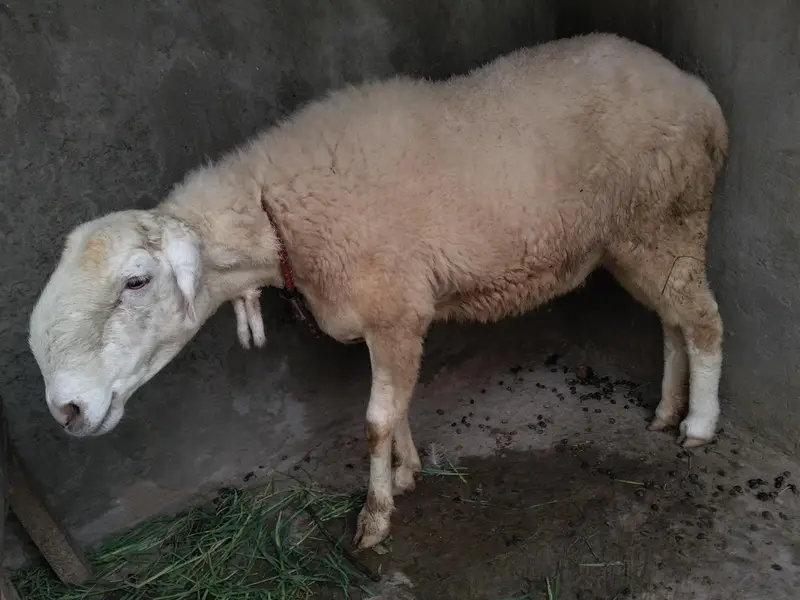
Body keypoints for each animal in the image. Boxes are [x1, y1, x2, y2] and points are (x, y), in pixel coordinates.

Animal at [28, 32, 728, 550]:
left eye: (137, 280)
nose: (66, 410)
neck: (277, 215)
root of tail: (697, 91)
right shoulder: (391, 317)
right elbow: (401, 408)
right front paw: (408, 472)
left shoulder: (395, 309)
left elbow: (374, 421)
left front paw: (375, 515)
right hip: (638, 237)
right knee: (673, 322)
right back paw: (666, 411)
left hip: (669, 218)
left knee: (704, 322)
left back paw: (698, 426)